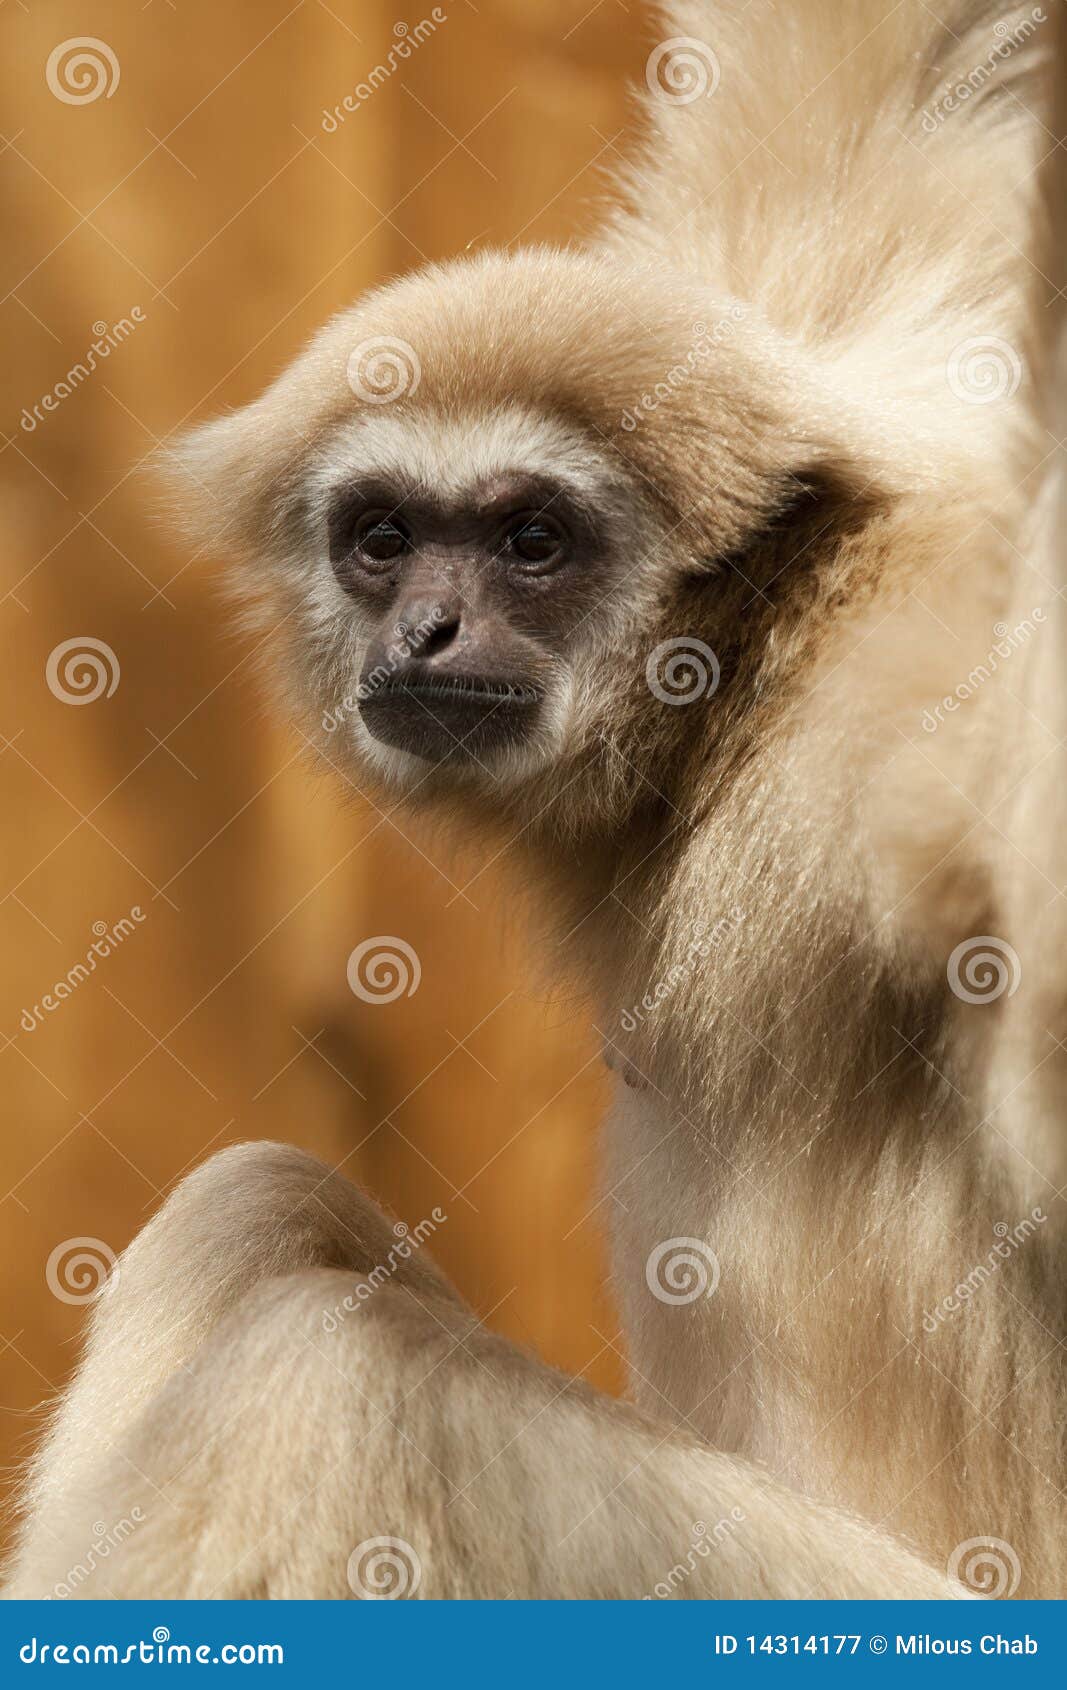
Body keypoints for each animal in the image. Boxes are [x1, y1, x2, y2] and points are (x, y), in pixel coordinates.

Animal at [4, 0, 1065, 1600]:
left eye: (530, 540)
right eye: (382, 536)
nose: (426, 627)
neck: (740, 704)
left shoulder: (884, 724)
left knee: (330, 1380)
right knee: (253, 1208)